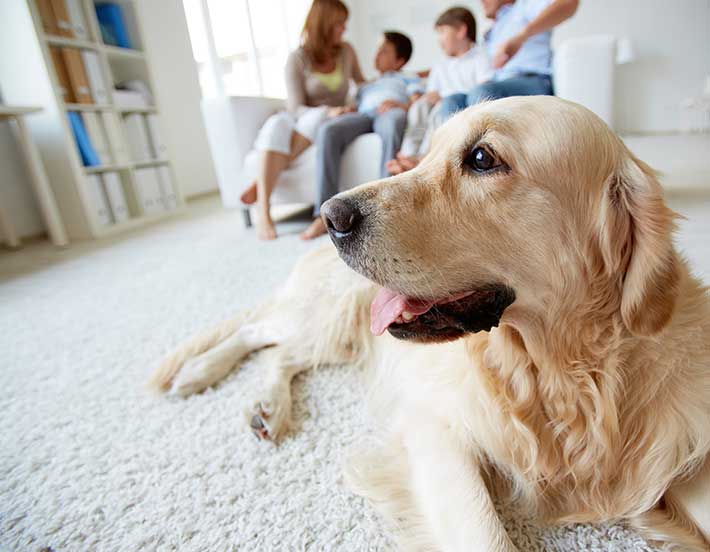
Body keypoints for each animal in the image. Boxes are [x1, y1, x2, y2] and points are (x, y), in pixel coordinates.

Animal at [150, 97, 710, 548]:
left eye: (482, 158)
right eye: (427, 154)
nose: (330, 216)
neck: (559, 374)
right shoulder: (437, 429)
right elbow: (486, 535)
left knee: (282, 353)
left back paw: (266, 406)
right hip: (332, 314)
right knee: (259, 334)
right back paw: (201, 374)